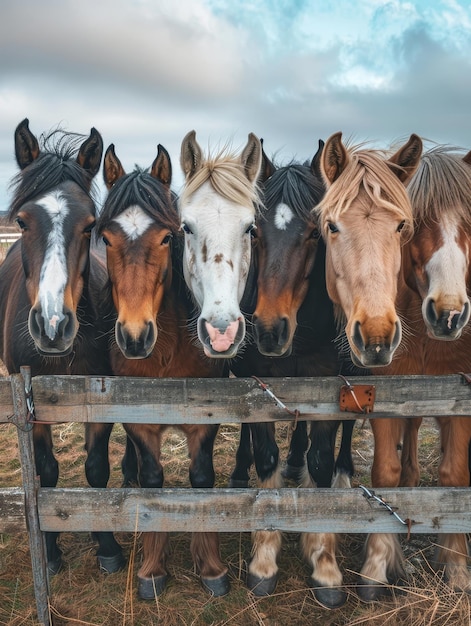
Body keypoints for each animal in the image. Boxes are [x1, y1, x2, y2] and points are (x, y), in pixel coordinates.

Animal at [0, 118, 127, 576]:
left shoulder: (101, 398)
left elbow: (96, 469)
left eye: (90, 225)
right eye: (21, 221)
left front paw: (106, 546)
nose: (53, 325)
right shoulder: (31, 408)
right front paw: (51, 551)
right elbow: (47, 473)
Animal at [230, 140, 360, 604]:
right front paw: (264, 559)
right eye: (254, 231)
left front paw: (324, 562)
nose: (270, 330)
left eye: (315, 233)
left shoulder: (325, 381)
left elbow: (321, 461)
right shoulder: (259, 382)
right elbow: (265, 454)